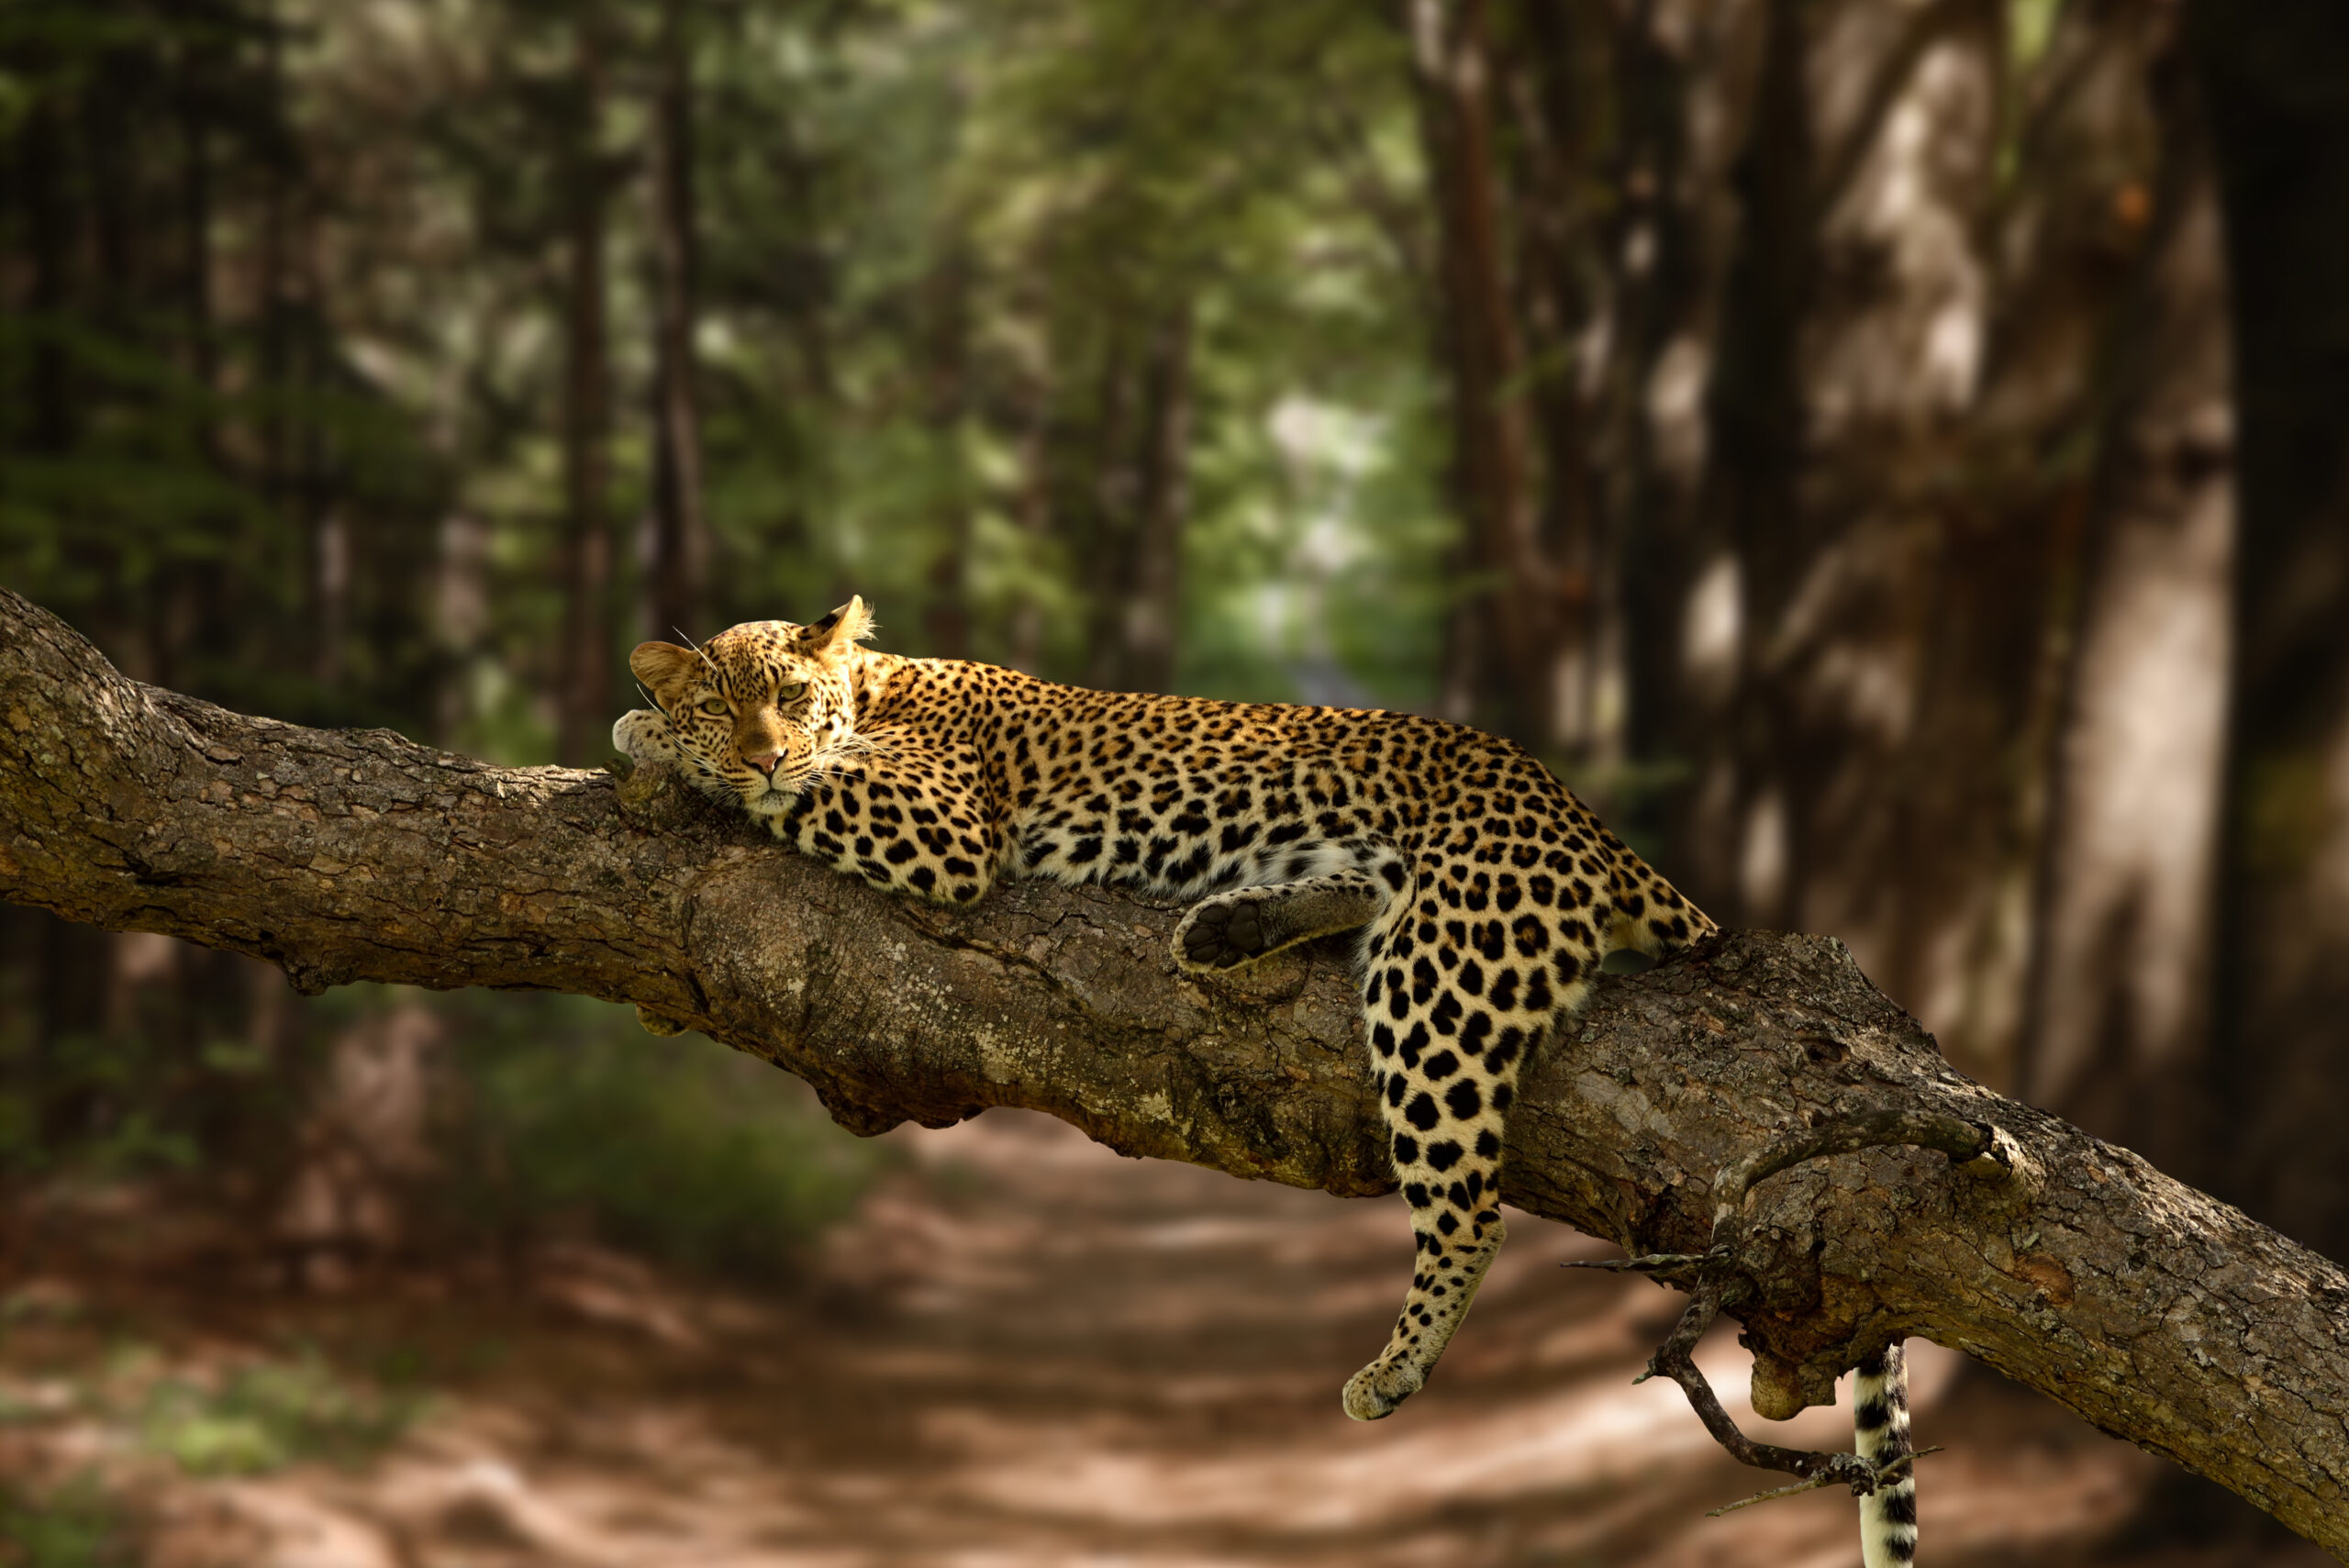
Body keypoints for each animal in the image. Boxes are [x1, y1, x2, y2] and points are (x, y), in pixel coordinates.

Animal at [610, 599, 1917, 1552]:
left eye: (788, 699)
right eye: (732, 702)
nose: (761, 747)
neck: (878, 686)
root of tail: (1581, 817)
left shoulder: (938, 820)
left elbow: (805, 788)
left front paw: (651, 740)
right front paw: (661, 728)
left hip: (1440, 983)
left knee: (1471, 1206)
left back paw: (1392, 1367)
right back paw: (1226, 928)